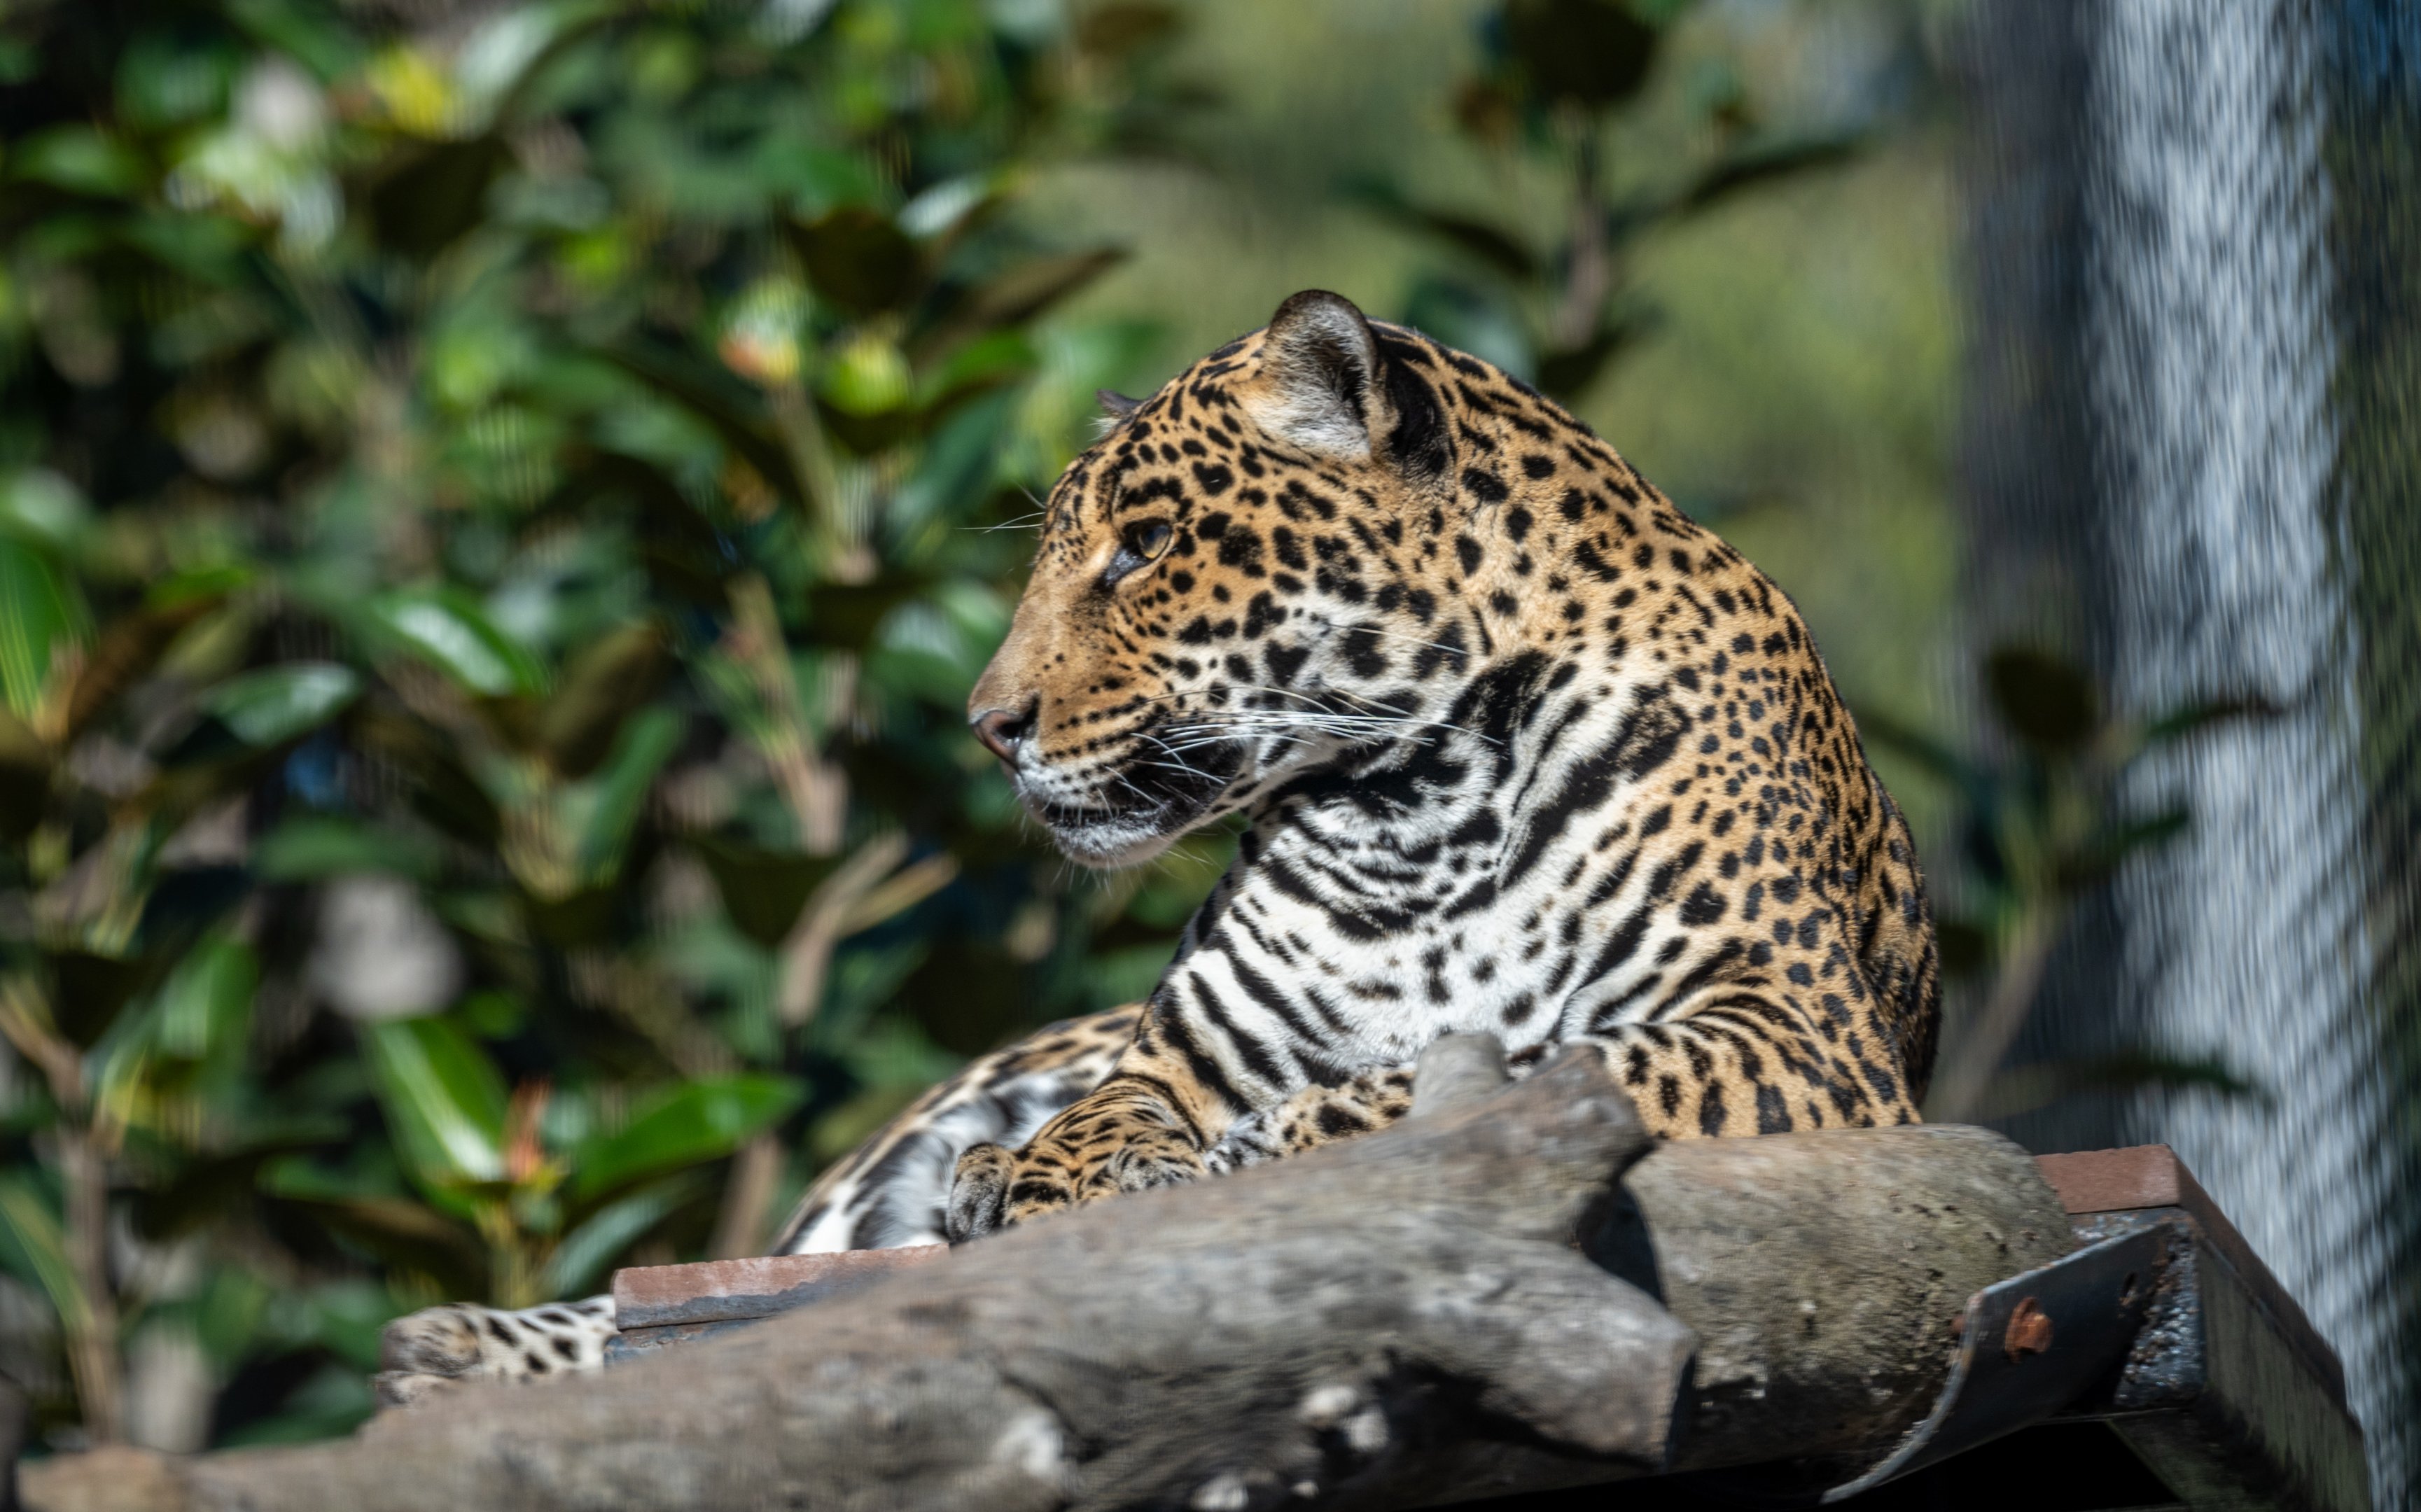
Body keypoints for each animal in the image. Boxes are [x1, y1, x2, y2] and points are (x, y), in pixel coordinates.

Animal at [374, 289, 1939, 1403]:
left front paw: (1284, 1144)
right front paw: (1064, 1185)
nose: (985, 724)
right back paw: (457, 1347)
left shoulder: (1796, 1034)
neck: (1419, 803)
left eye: (1140, 551)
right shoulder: (1171, 1056)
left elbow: (1539, 1068)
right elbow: (1105, 1124)